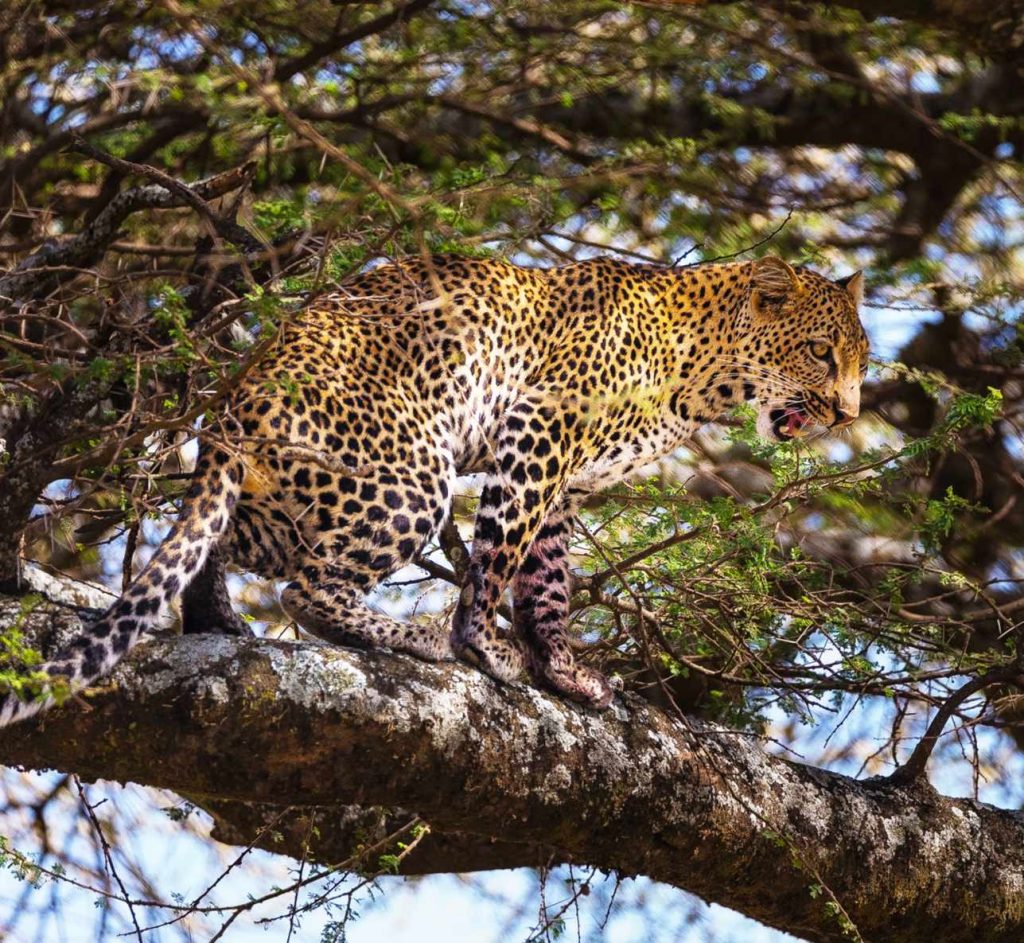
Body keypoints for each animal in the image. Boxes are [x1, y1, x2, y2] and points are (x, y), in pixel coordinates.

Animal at [0, 253, 869, 725]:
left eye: (860, 360)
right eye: (821, 353)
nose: (849, 412)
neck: (702, 375)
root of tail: (232, 407)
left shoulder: (567, 484)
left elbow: (547, 581)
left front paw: (562, 667)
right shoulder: (538, 431)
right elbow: (498, 556)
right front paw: (482, 643)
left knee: (215, 536)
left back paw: (214, 614)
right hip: (414, 475)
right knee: (306, 588)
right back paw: (412, 637)